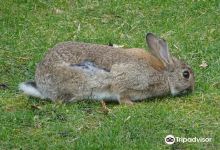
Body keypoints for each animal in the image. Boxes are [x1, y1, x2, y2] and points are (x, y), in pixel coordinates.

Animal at [18, 32, 194, 104]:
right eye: (186, 74)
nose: (192, 89)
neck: (164, 74)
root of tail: (42, 87)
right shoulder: (126, 82)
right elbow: (121, 95)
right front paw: (131, 105)